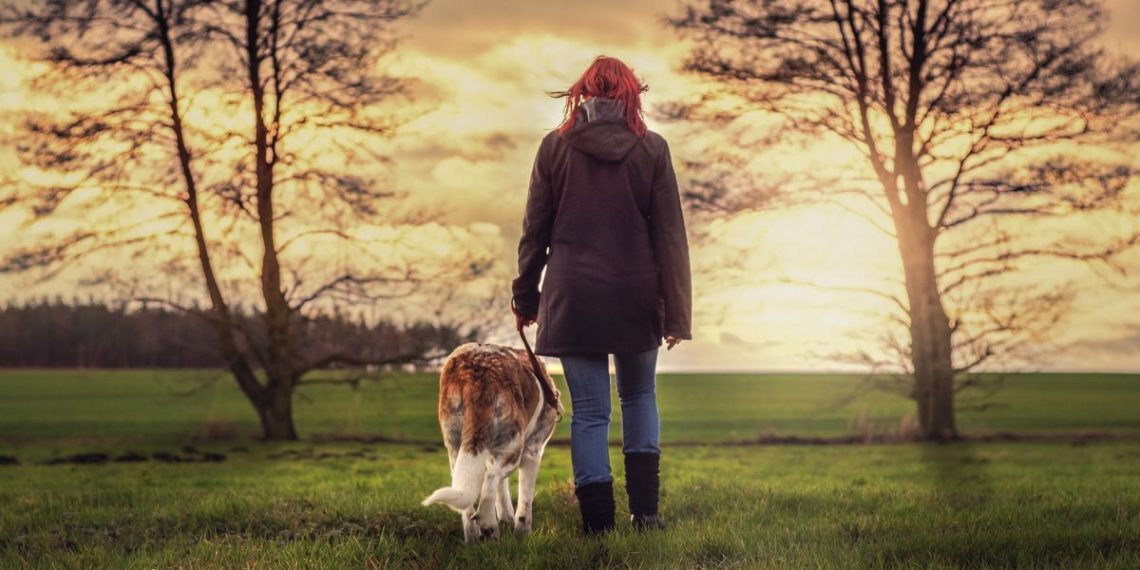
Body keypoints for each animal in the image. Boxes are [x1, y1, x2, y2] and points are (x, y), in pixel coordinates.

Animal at [421, 342, 563, 542]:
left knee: (469, 503)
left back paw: (473, 539)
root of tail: (475, 374)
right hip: (514, 447)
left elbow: (502, 492)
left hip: (455, 448)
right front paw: (522, 534)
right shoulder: (533, 452)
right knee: (490, 479)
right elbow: (525, 502)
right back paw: (489, 526)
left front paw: (507, 518)